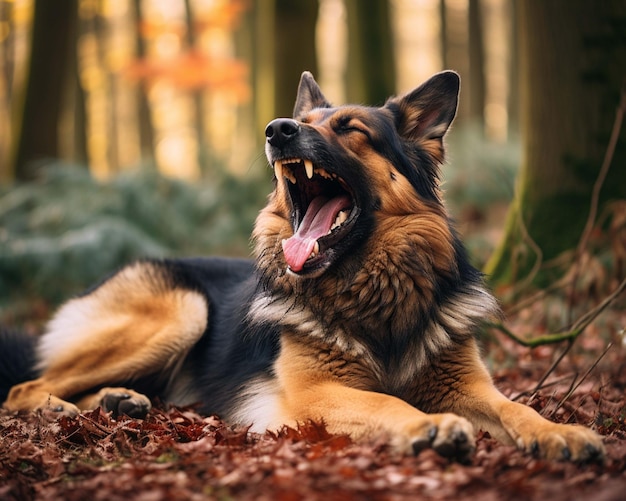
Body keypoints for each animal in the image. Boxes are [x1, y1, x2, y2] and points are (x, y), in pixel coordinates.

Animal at [1, 69, 604, 460]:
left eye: (352, 129)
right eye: (301, 121)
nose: (276, 129)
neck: (372, 289)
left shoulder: (470, 387)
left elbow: (517, 409)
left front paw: (560, 432)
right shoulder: (318, 394)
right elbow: (388, 402)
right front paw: (429, 427)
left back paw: (117, 400)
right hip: (182, 310)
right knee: (21, 388)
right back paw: (65, 409)